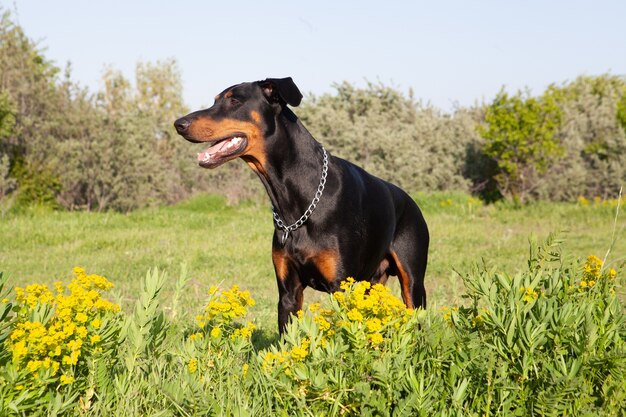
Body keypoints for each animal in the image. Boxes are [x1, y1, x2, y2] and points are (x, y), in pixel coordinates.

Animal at [176, 77, 428, 332]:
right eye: (215, 100)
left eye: (235, 100)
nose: (179, 124)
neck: (295, 202)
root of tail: (410, 201)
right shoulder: (288, 290)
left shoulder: (340, 285)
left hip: (413, 282)